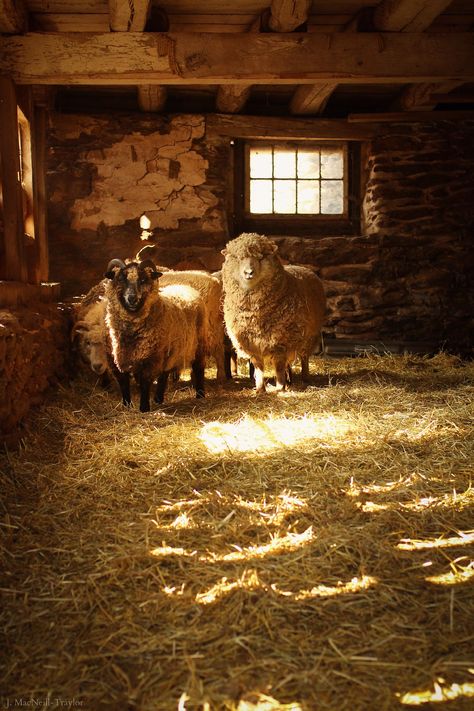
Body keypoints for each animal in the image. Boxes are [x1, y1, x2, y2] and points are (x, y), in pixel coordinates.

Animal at [219, 234, 326, 392]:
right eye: (237, 258)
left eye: (261, 257)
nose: (248, 273)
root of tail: (300, 266)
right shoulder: (251, 343)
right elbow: (259, 368)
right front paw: (260, 389)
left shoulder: (281, 342)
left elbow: (279, 366)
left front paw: (280, 388)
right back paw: (289, 381)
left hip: (309, 335)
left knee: (304, 357)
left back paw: (304, 378)